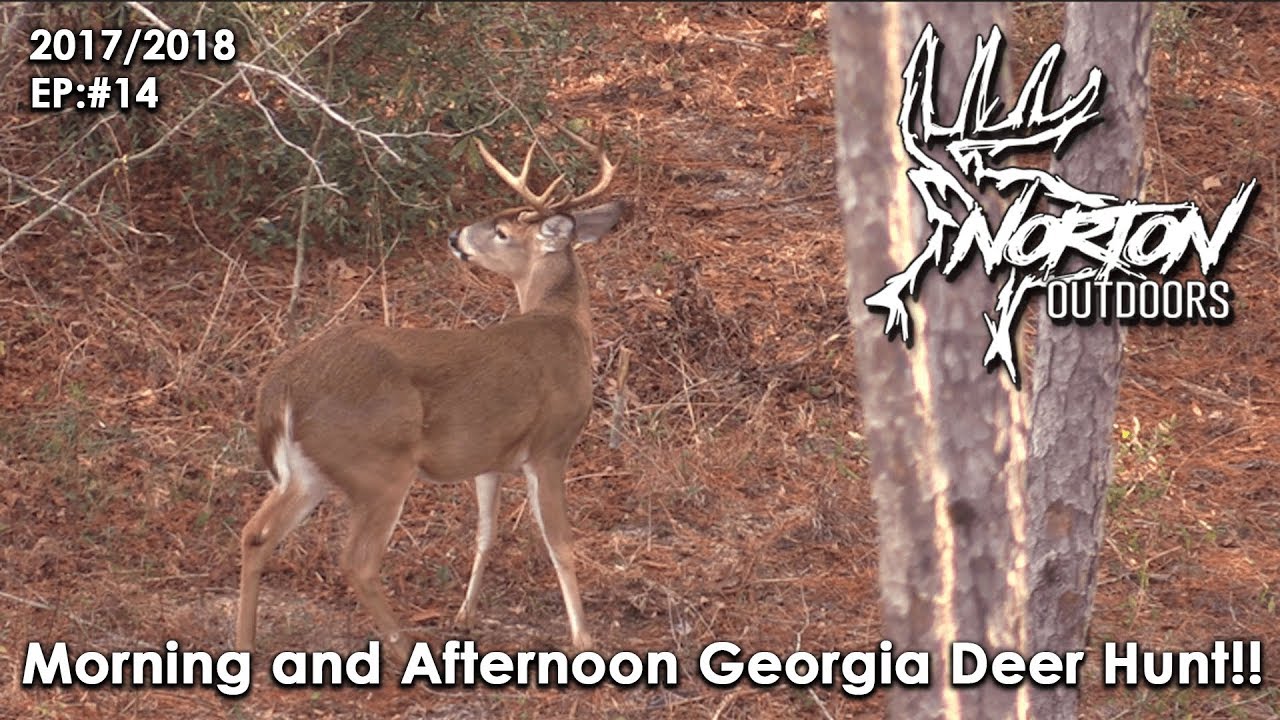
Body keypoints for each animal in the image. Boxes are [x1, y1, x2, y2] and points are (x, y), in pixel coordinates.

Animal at [235, 123, 622, 662]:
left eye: (502, 232)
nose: (455, 235)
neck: (563, 323)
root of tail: (283, 382)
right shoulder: (551, 444)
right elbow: (560, 543)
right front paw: (583, 638)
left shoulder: (489, 459)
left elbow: (485, 535)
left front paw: (466, 614)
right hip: (379, 467)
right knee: (356, 561)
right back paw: (403, 649)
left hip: (306, 472)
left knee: (256, 533)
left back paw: (244, 644)